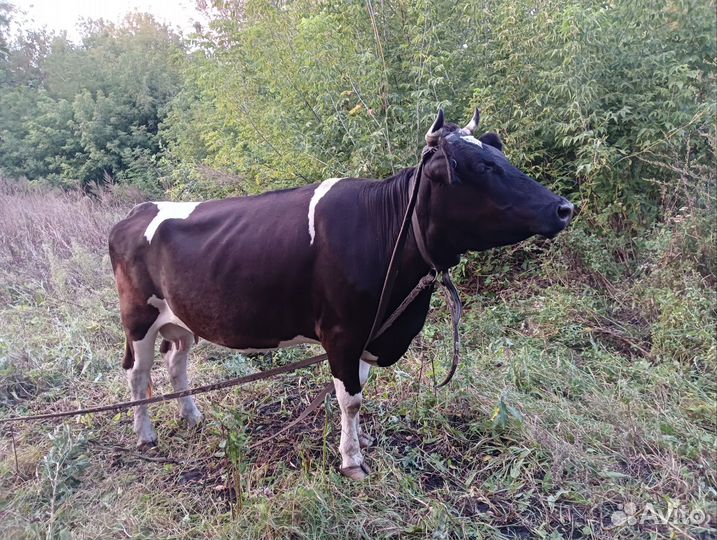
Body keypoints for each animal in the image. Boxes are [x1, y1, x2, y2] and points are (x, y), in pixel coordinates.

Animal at [108, 108, 573, 480]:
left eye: (501, 156)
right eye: (479, 167)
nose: (564, 208)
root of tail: (138, 210)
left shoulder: (371, 330)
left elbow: (360, 390)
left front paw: (362, 441)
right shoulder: (342, 332)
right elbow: (350, 399)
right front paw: (351, 460)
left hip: (181, 318)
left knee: (176, 363)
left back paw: (191, 416)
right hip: (138, 318)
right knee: (137, 372)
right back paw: (145, 435)